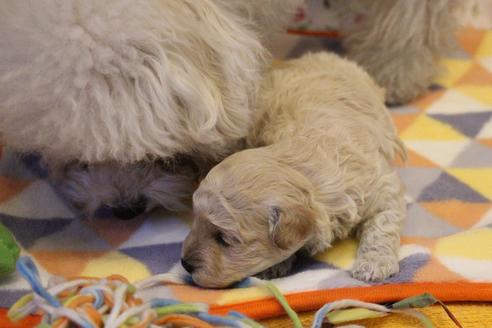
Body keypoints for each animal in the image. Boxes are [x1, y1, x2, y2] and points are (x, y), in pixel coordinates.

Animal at [183, 53, 406, 288]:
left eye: (223, 239)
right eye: (195, 221)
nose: (185, 263)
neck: (303, 170)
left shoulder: (382, 187)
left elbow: (383, 225)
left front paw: (375, 263)